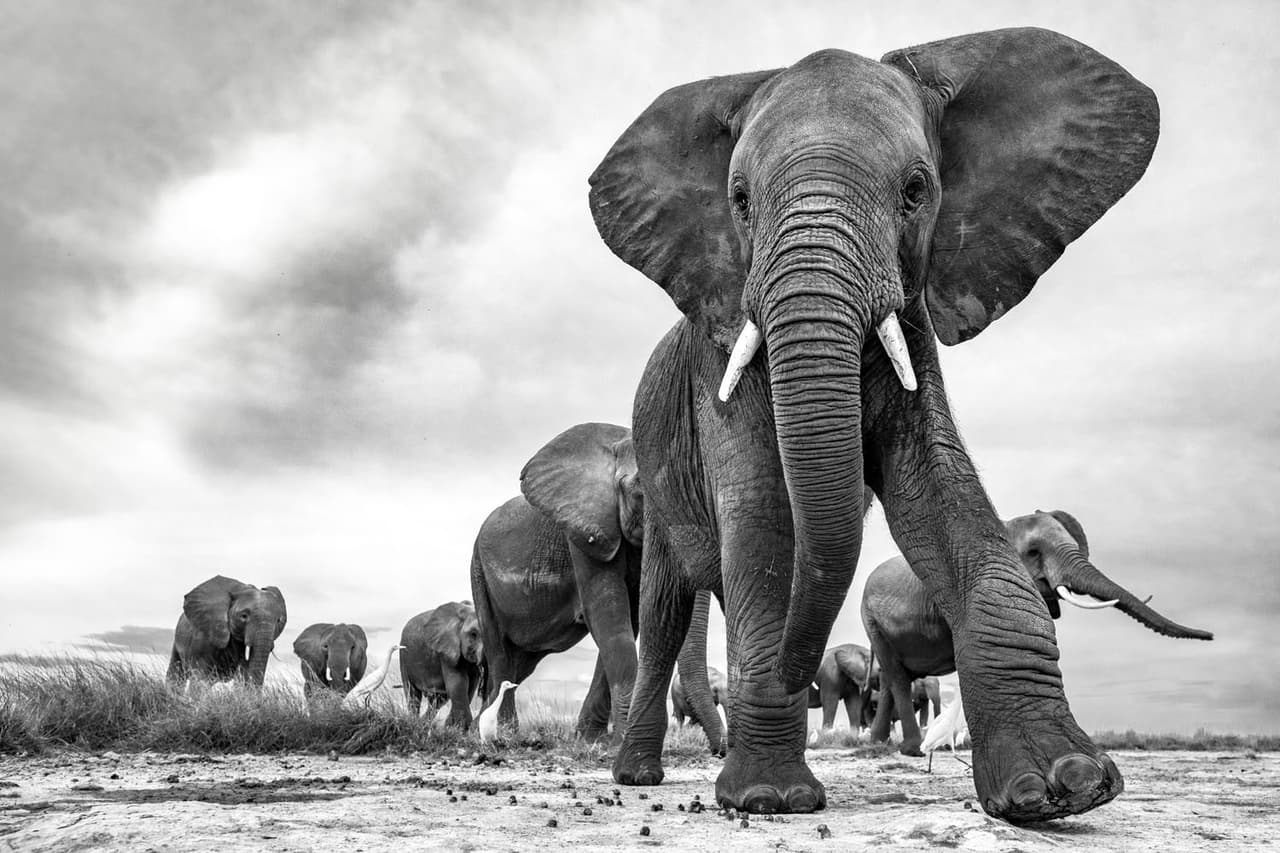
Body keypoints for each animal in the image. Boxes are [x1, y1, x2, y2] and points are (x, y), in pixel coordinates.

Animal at [589, 27, 1174, 821]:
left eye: (916, 190)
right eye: (739, 201)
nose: (801, 673)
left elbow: (940, 496)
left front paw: (1064, 786)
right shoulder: (723, 350)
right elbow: (766, 516)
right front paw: (770, 797)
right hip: (654, 477)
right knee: (664, 611)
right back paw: (637, 776)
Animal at [862, 509, 1212, 756]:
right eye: (1033, 552)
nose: (1210, 637)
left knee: (893, 677)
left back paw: (879, 744)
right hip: (871, 620)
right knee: (896, 674)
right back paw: (910, 750)